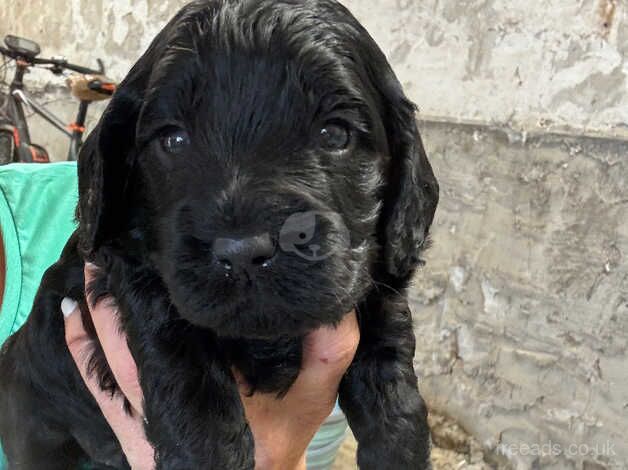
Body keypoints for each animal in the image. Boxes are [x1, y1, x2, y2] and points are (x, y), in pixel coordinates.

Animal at [0, 1, 440, 468]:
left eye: (335, 133)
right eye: (173, 139)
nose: (243, 251)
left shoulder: (379, 268)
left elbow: (389, 358)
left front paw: (401, 445)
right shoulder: (132, 264)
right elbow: (179, 355)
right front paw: (207, 451)